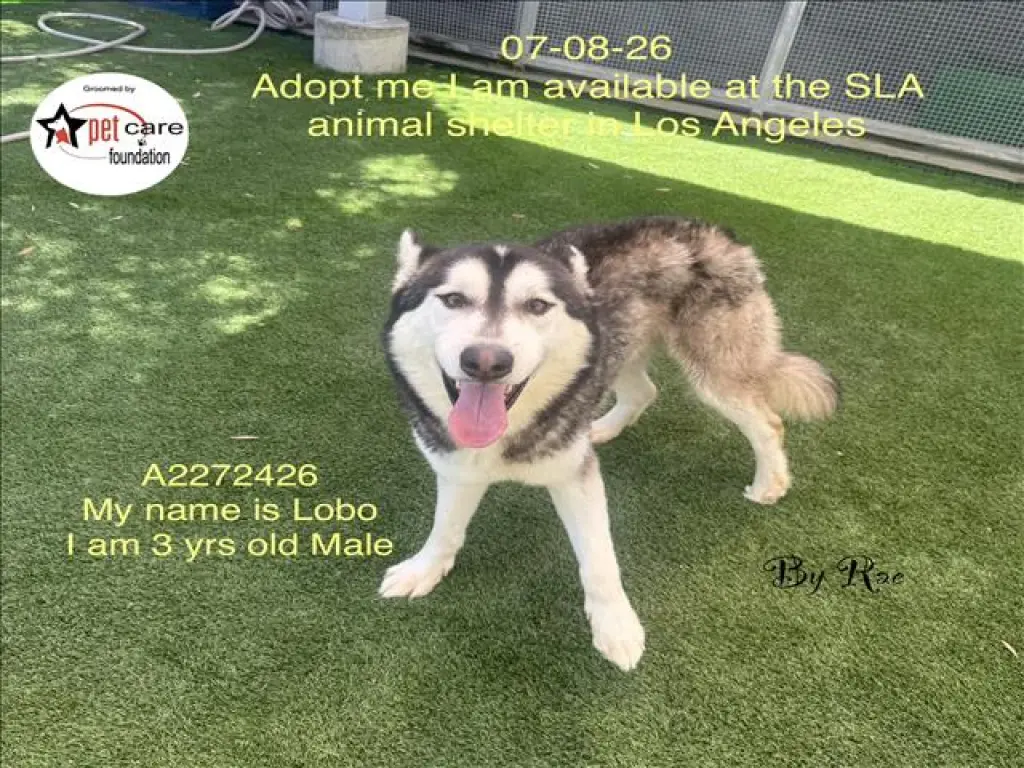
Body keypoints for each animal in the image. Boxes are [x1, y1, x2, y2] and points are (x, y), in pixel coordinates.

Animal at [380, 216, 839, 671]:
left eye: (537, 306)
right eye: (453, 299)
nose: (487, 362)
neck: (509, 434)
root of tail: (716, 231)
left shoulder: (576, 479)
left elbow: (599, 560)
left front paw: (615, 626)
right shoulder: (457, 465)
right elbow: (445, 528)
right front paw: (425, 569)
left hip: (715, 372)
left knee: (768, 422)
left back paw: (769, 483)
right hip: (619, 349)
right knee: (644, 392)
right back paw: (602, 427)